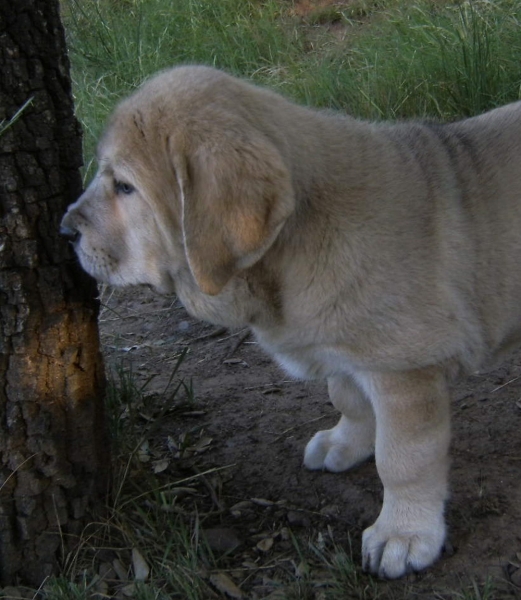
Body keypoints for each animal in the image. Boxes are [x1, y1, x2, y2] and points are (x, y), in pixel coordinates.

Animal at [62, 67, 521, 580]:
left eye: (125, 187)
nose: (64, 229)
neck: (293, 243)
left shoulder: (402, 369)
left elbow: (403, 460)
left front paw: (403, 533)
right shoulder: (343, 349)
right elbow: (349, 399)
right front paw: (345, 441)